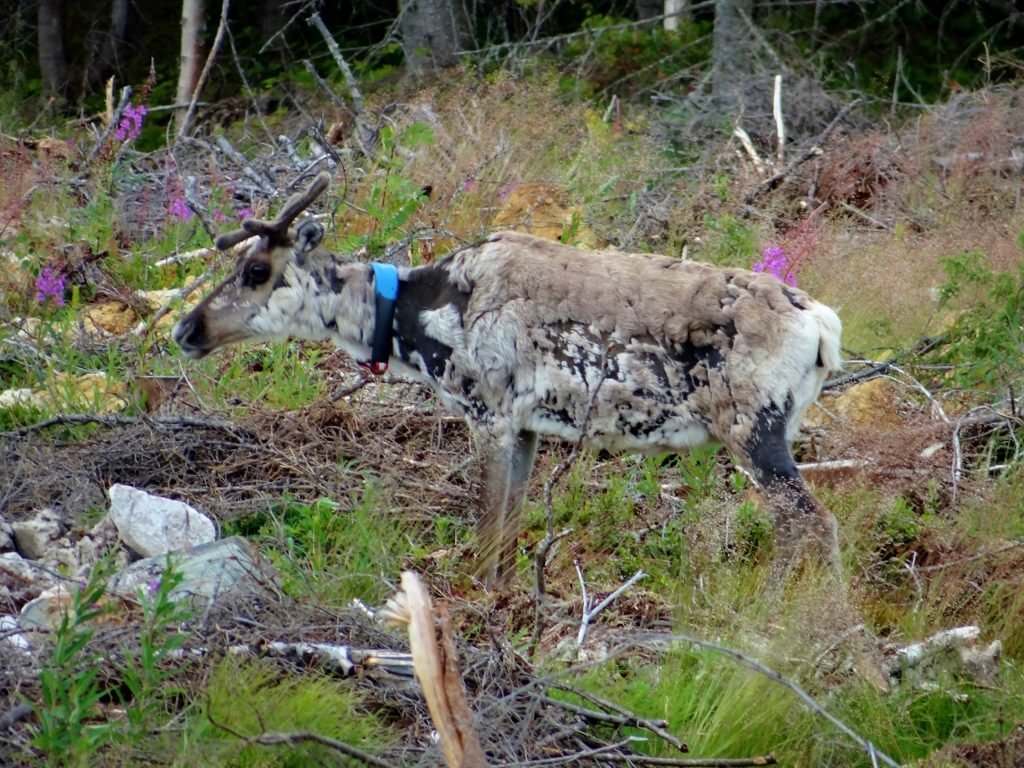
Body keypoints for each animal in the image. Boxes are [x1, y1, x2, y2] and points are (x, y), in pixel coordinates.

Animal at [172, 172, 844, 589]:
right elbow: (513, 526)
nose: (185, 327)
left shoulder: (488, 410)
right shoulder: (527, 427)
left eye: (257, 269)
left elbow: (487, 523)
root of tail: (822, 325)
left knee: (808, 522)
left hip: (752, 425)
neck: (415, 319)